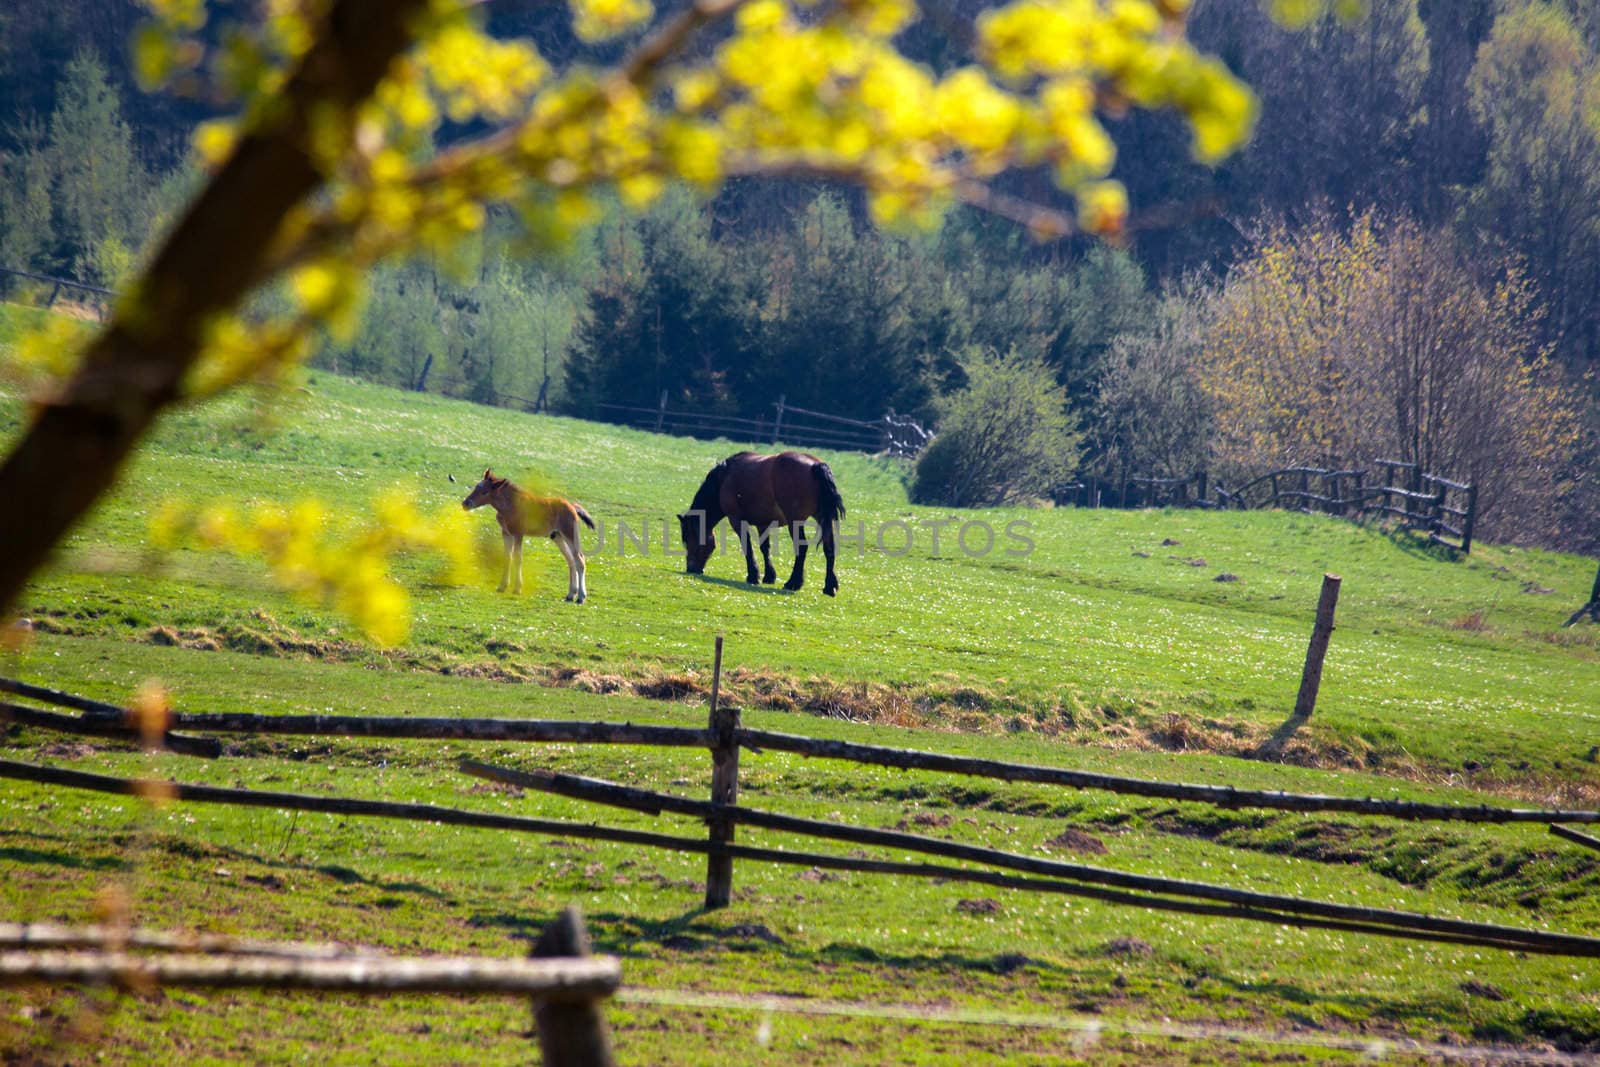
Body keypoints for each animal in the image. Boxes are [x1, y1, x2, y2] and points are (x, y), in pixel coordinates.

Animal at [467, 470, 598, 604]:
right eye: (476, 486)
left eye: (485, 492)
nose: (465, 503)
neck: (510, 505)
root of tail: (572, 506)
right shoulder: (506, 533)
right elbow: (507, 557)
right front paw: (502, 586)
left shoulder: (518, 534)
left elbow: (518, 558)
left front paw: (517, 588)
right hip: (557, 536)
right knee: (571, 560)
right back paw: (570, 594)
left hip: (570, 534)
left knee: (580, 560)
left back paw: (581, 597)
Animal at [678, 451, 851, 598]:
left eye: (688, 540)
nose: (691, 569)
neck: (724, 477)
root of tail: (815, 465)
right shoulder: (763, 524)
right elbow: (764, 548)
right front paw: (769, 576)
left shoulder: (736, 519)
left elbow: (747, 546)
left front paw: (753, 575)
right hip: (822, 518)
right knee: (829, 547)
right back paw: (829, 586)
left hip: (795, 521)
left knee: (801, 548)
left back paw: (793, 583)